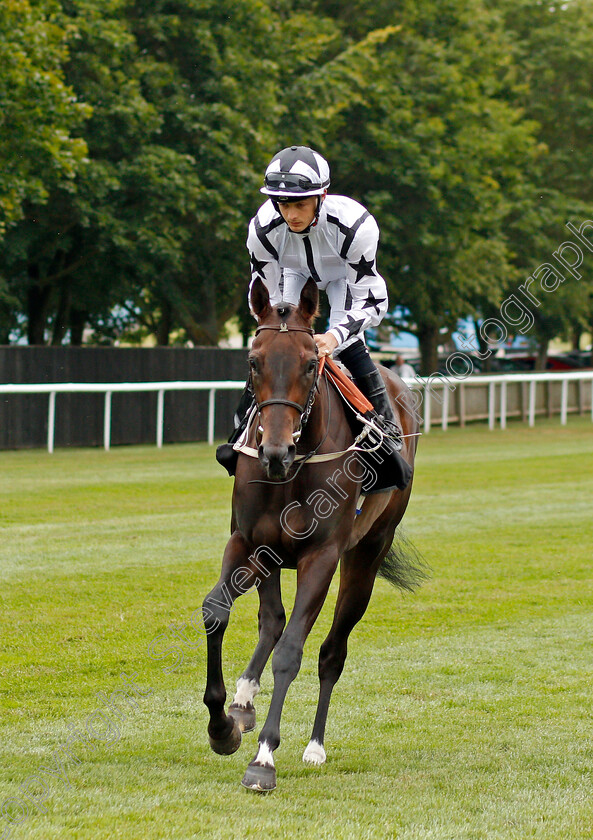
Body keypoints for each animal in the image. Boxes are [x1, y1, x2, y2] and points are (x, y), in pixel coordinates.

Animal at [202, 278, 420, 796]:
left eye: (308, 363)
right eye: (253, 362)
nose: (275, 452)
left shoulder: (320, 557)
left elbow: (292, 652)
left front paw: (264, 757)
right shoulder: (245, 542)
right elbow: (218, 612)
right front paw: (222, 725)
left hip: (367, 554)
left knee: (331, 651)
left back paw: (315, 745)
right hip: (269, 557)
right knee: (271, 620)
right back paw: (242, 701)